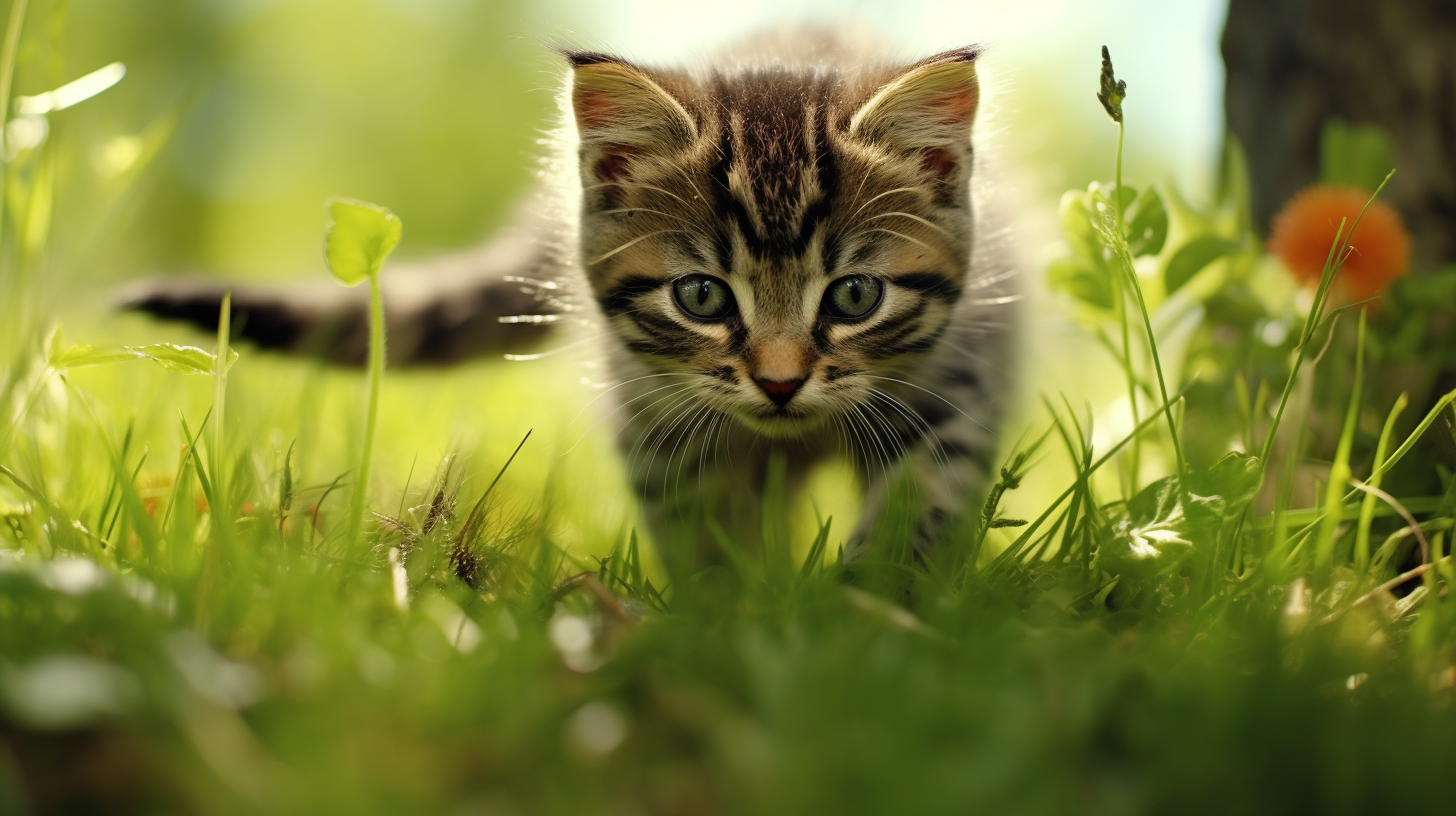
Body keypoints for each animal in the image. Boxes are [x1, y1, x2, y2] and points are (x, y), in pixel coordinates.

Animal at [139, 34, 1025, 565]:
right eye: (702, 297)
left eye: (855, 296)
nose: (779, 382)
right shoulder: (662, 427)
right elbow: (703, 539)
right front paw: (735, 620)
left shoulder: (957, 388)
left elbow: (917, 511)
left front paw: (865, 627)